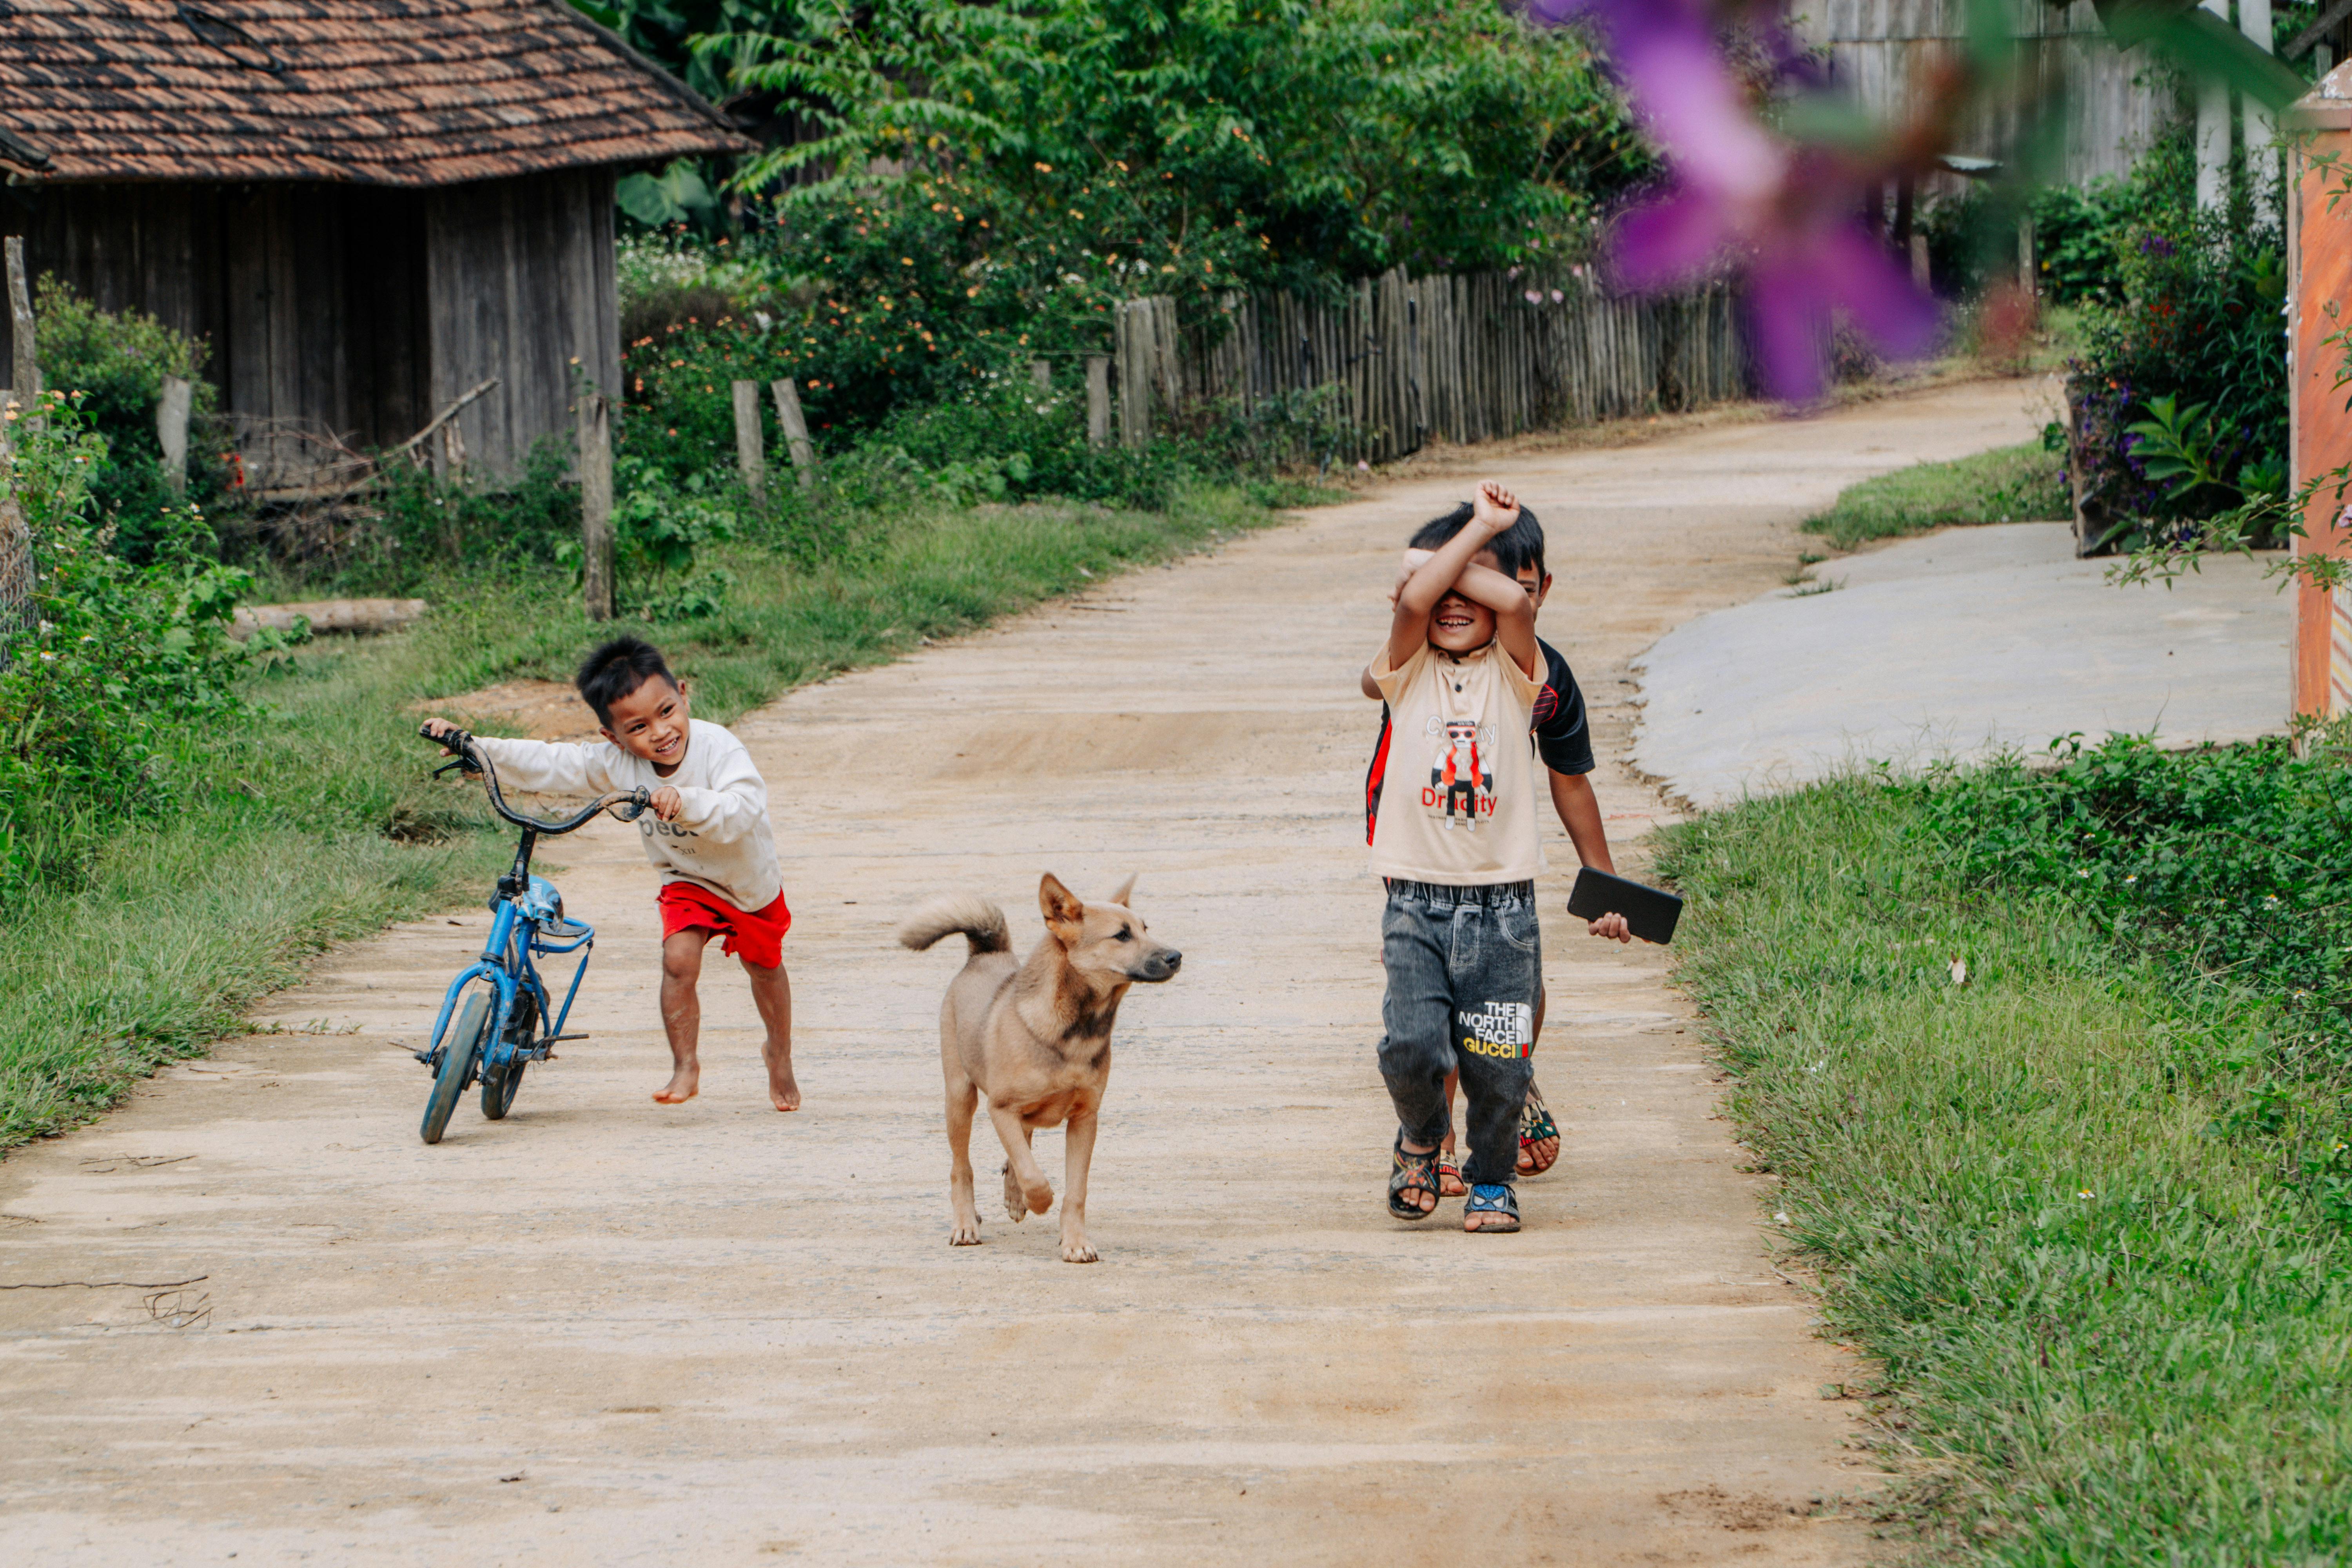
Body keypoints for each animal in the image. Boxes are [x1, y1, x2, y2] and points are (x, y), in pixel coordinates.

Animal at [903, 884, 1185, 1260]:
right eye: (1122, 935)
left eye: (1145, 929)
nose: (1176, 957)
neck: (1074, 1031)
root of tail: (986, 955)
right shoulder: (1001, 1108)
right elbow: (1033, 1175)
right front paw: (1039, 1201)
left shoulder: (1084, 1120)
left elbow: (1074, 1190)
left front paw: (1075, 1242)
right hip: (960, 1098)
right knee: (962, 1167)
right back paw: (966, 1222)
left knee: (1021, 1144)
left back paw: (1012, 1195)